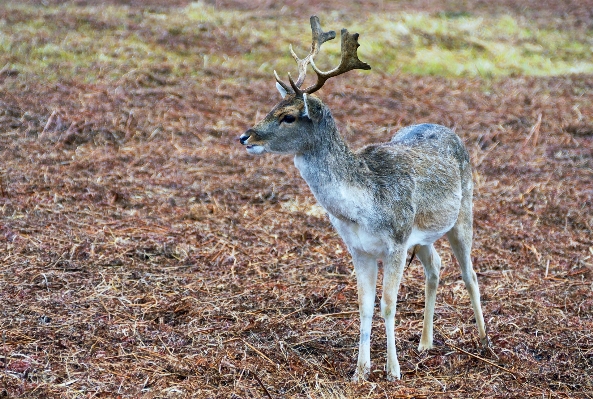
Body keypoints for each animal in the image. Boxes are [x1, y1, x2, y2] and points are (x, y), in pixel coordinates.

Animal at [238, 15, 488, 382]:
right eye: (273, 107)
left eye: (288, 116)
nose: (245, 136)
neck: (363, 207)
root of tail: (450, 130)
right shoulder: (358, 248)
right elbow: (364, 306)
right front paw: (360, 370)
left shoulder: (396, 241)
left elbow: (388, 305)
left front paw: (393, 371)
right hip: (422, 236)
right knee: (436, 267)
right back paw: (425, 342)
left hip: (462, 212)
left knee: (469, 273)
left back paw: (484, 339)